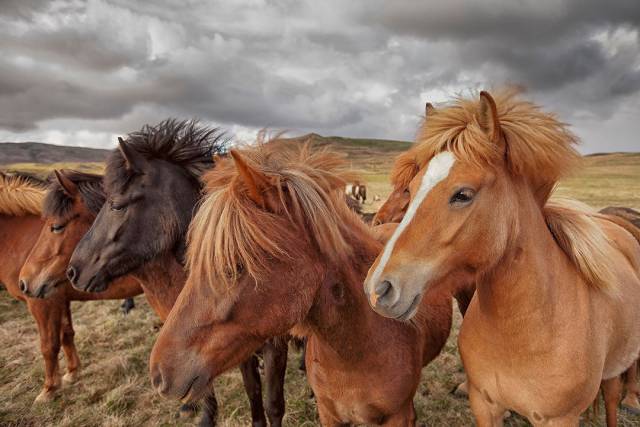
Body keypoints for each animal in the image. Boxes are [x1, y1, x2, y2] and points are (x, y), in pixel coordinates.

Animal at [0, 172, 142, 402]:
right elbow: (66, 334)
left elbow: (48, 345)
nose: (24, 282)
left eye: (56, 227)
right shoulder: (59, 298)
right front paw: (72, 373)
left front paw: (48, 389)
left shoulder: (42, 304)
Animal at [66, 119, 286, 427]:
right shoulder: (239, 346)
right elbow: (253, 393)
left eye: (117, 205)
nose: (74, 271)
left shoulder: (276, 346)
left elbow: (273, 404)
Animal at [362, 88, 640, 426]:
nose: (378, 289)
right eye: (411, 189)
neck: (523, 333)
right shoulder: (484, 404)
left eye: (463, 195)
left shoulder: (559, 418)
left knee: (612, 397)